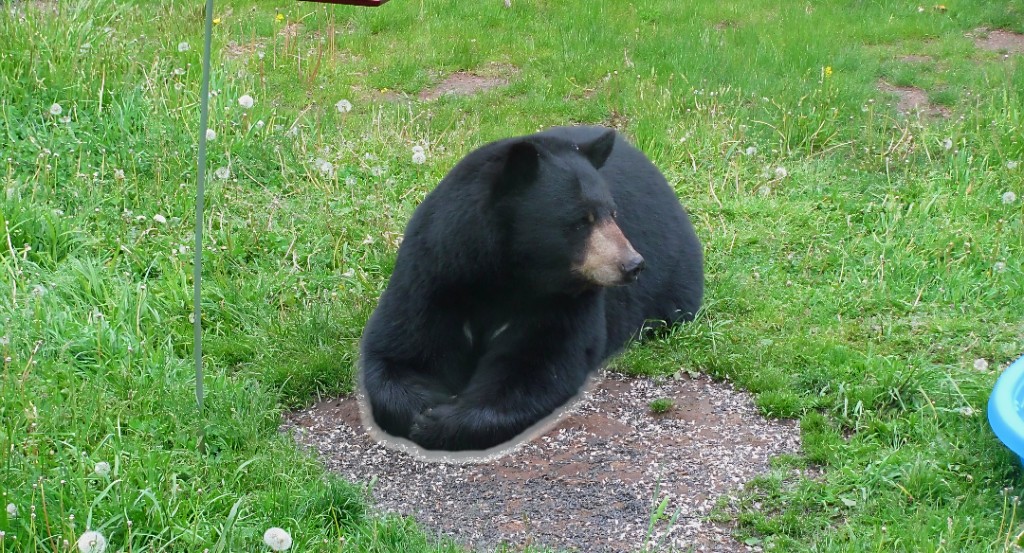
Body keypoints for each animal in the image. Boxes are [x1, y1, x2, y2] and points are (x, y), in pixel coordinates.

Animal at [358, 125, 703, 452]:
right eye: (581, 220)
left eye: (612, 213)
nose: (632, 264)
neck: (510, 275)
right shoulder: (434, 271)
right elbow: (400, 348)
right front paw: (422, 408)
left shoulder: (562, 300)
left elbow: (538, 365)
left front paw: (442, 422)